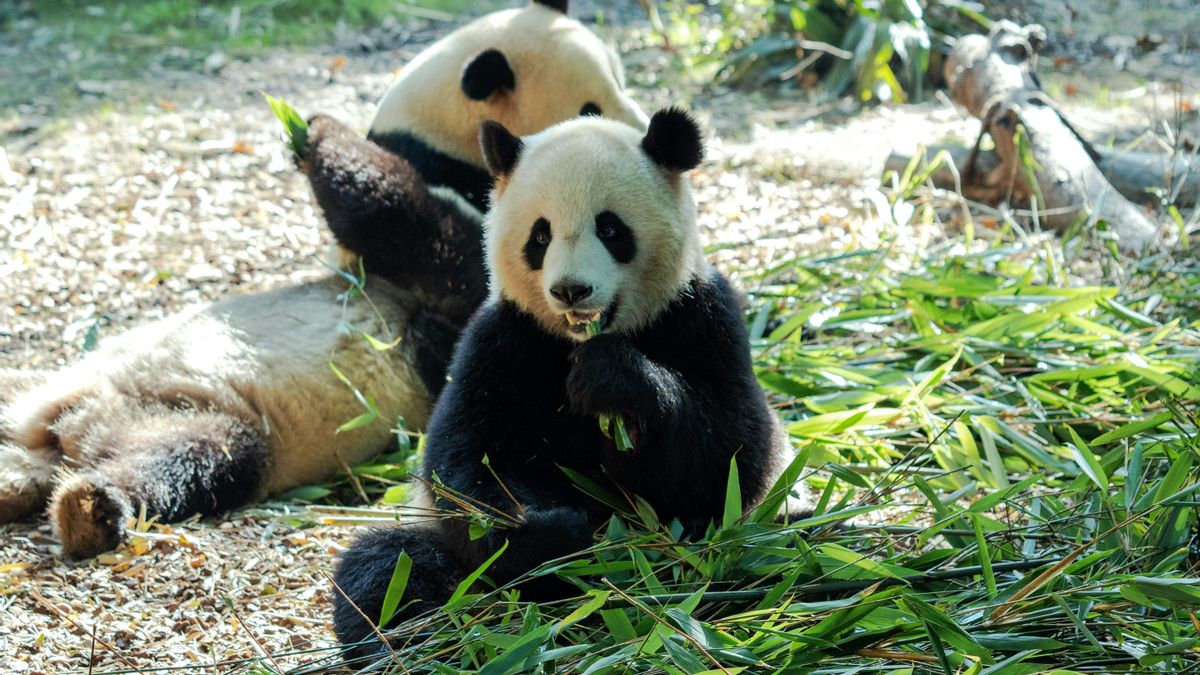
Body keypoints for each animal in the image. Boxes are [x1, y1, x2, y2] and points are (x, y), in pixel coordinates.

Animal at [0, 0, 644, 560]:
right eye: (595, 99)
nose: (642, 131)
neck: (445, 150)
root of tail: (64, 427)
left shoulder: (465, 266)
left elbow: (407, 224)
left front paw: (315, 131)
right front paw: (302, 125)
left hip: (201, 419)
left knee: (187, 456)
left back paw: (89, 509)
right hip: (60, 390)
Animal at [331, 109, 794, 649]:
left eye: (610, 228)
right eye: (540, 236)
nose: (571, 290)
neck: (576, 341)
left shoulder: (701, 316)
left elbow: (730, 454)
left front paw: (611, 379)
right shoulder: (505, 340)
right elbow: (466, 463)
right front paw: (553, 532)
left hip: (756, 534)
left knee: (772, 551)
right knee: (388, 570)